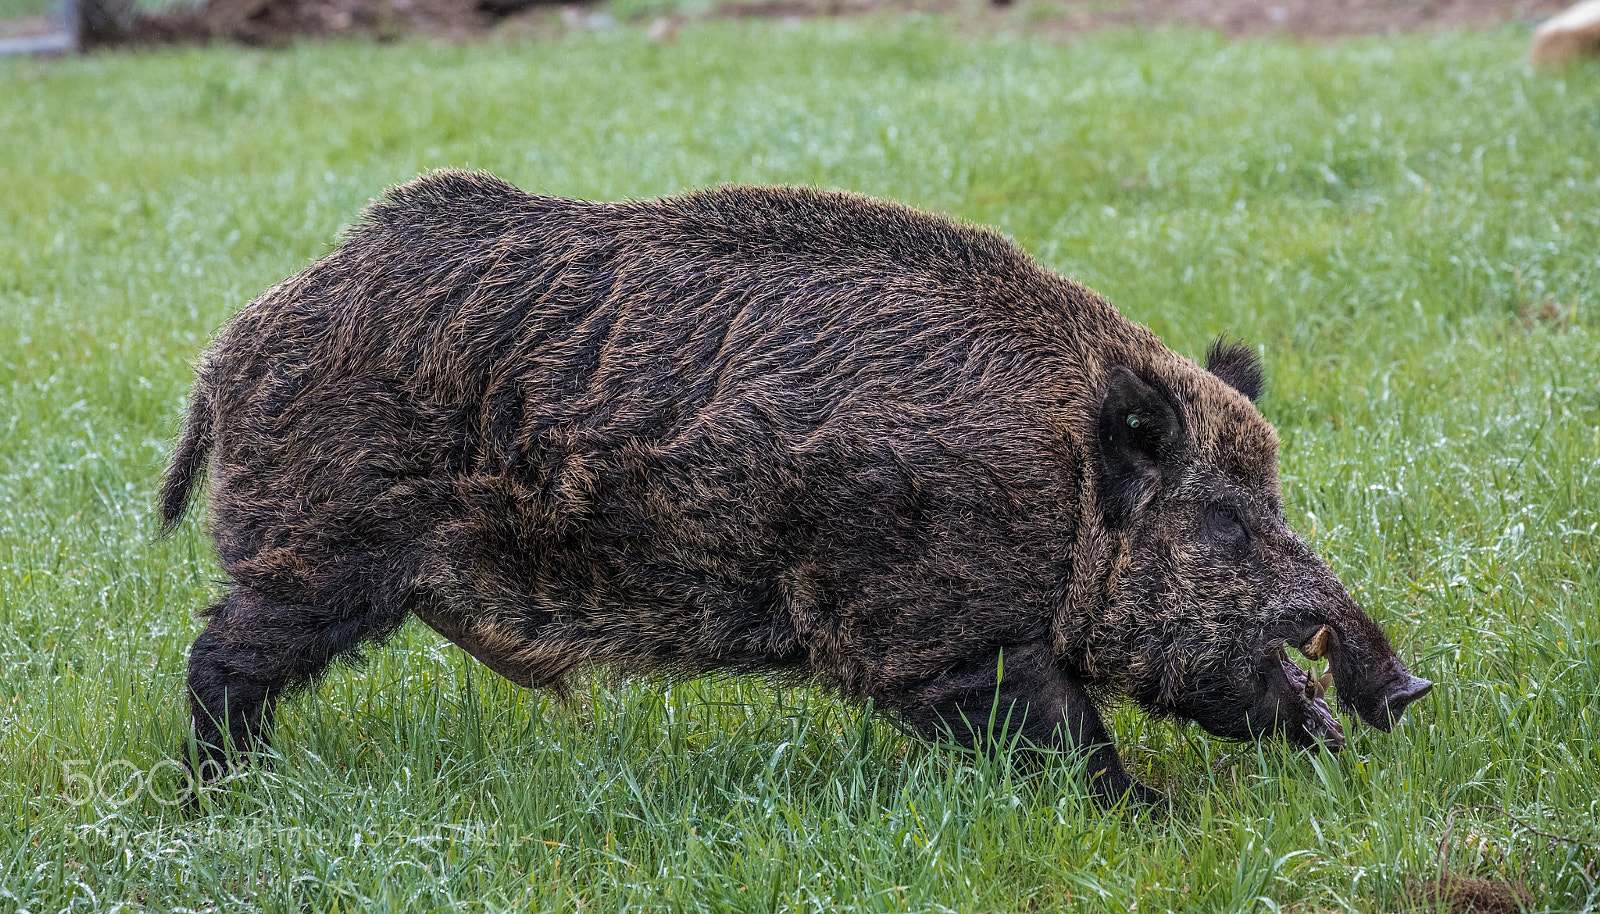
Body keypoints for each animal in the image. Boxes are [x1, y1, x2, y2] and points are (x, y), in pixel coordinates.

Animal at [160, 170, 1432, 803]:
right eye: (1225, 516)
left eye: (1275, 498)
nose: (1408, 681)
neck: (1057, 480)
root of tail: (233, 344)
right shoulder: (933, 629)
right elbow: (1064, 730)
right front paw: (1154, 816)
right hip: (322, 547)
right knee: (221, 651)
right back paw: (229, 793)